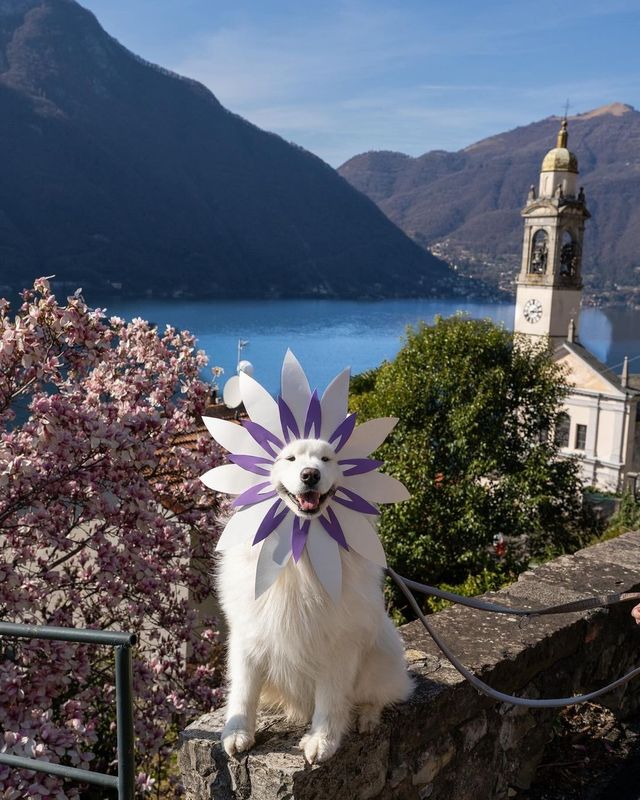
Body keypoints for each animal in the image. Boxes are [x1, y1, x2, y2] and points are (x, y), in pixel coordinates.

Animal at [218, 438, 412, 764]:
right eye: (290, 458)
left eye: (326, 459)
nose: (310, 474)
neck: (302, 556)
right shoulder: (248, 634)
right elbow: (243, 690)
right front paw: (237, 733)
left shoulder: (339, 645)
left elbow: (331, 699)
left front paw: (322, 741)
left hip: (381, 655)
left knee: (378, 696)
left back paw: (366, 719)